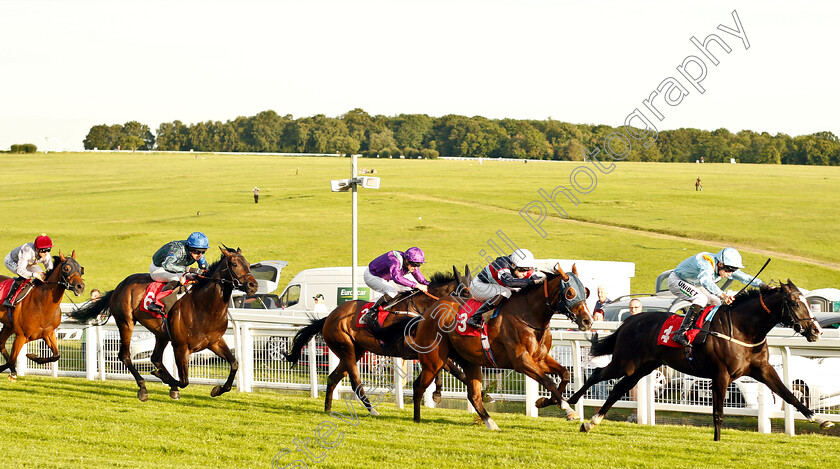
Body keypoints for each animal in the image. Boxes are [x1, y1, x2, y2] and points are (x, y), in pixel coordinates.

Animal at [0, 252, 85, 380]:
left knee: (1, 343)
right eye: (66, 268)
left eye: (80, 268)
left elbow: (56, 355)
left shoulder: (48, 333)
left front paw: (32, 356)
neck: (41, 304)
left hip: (8, 326)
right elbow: (12, 359)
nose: (80, 286)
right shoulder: (21, 335)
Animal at [71, 247, 258, 400]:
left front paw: (218, 389)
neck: (204, 307)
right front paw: (164, 379)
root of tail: (119, 286)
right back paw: (143, 388)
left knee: (155, 357)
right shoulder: (181, 347)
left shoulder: (215, 342)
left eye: (248, 264)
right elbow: (184, 380)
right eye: (234, 264)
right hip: (126, 322)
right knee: (125, 355)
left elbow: (234, 363)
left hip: (161, 334)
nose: (253, 285)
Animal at [286, 268, 480, 414]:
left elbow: (455, 371)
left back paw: (328, 409)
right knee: (356, 382)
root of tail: (329, 317)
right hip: (346, 349)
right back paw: (372, 410)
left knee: (333, 378)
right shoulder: (414, 349)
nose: (474, 314)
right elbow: (447, 368)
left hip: (355, 351)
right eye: (465, 292)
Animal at [386, 262, 592, 430]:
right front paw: (568, 410)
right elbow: (548, 381)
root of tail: (426, 314)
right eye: (570, 292)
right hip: (434, 360)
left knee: (473, 395)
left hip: (468, 360)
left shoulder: (540, 358)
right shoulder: (521, 361)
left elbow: (564, 374)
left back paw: (491, 423)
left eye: (586, 291)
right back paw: (417, 419)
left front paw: (544, 402)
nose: (587, 321)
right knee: (418, 386)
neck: (529, 315)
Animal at [568, 282, 836, 438]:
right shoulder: (721, 374)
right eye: (795, 303)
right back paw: (569, 403)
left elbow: (789, 395)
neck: (743, 329)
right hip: (625, 362)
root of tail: (630, 321)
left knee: (619, 389)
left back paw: (591, 422)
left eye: (807, 302)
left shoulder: (763, 369)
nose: (816, 331)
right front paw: (717, 441)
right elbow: (718, 412)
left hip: (642, 368)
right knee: (597, 375)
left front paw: (821, 420)